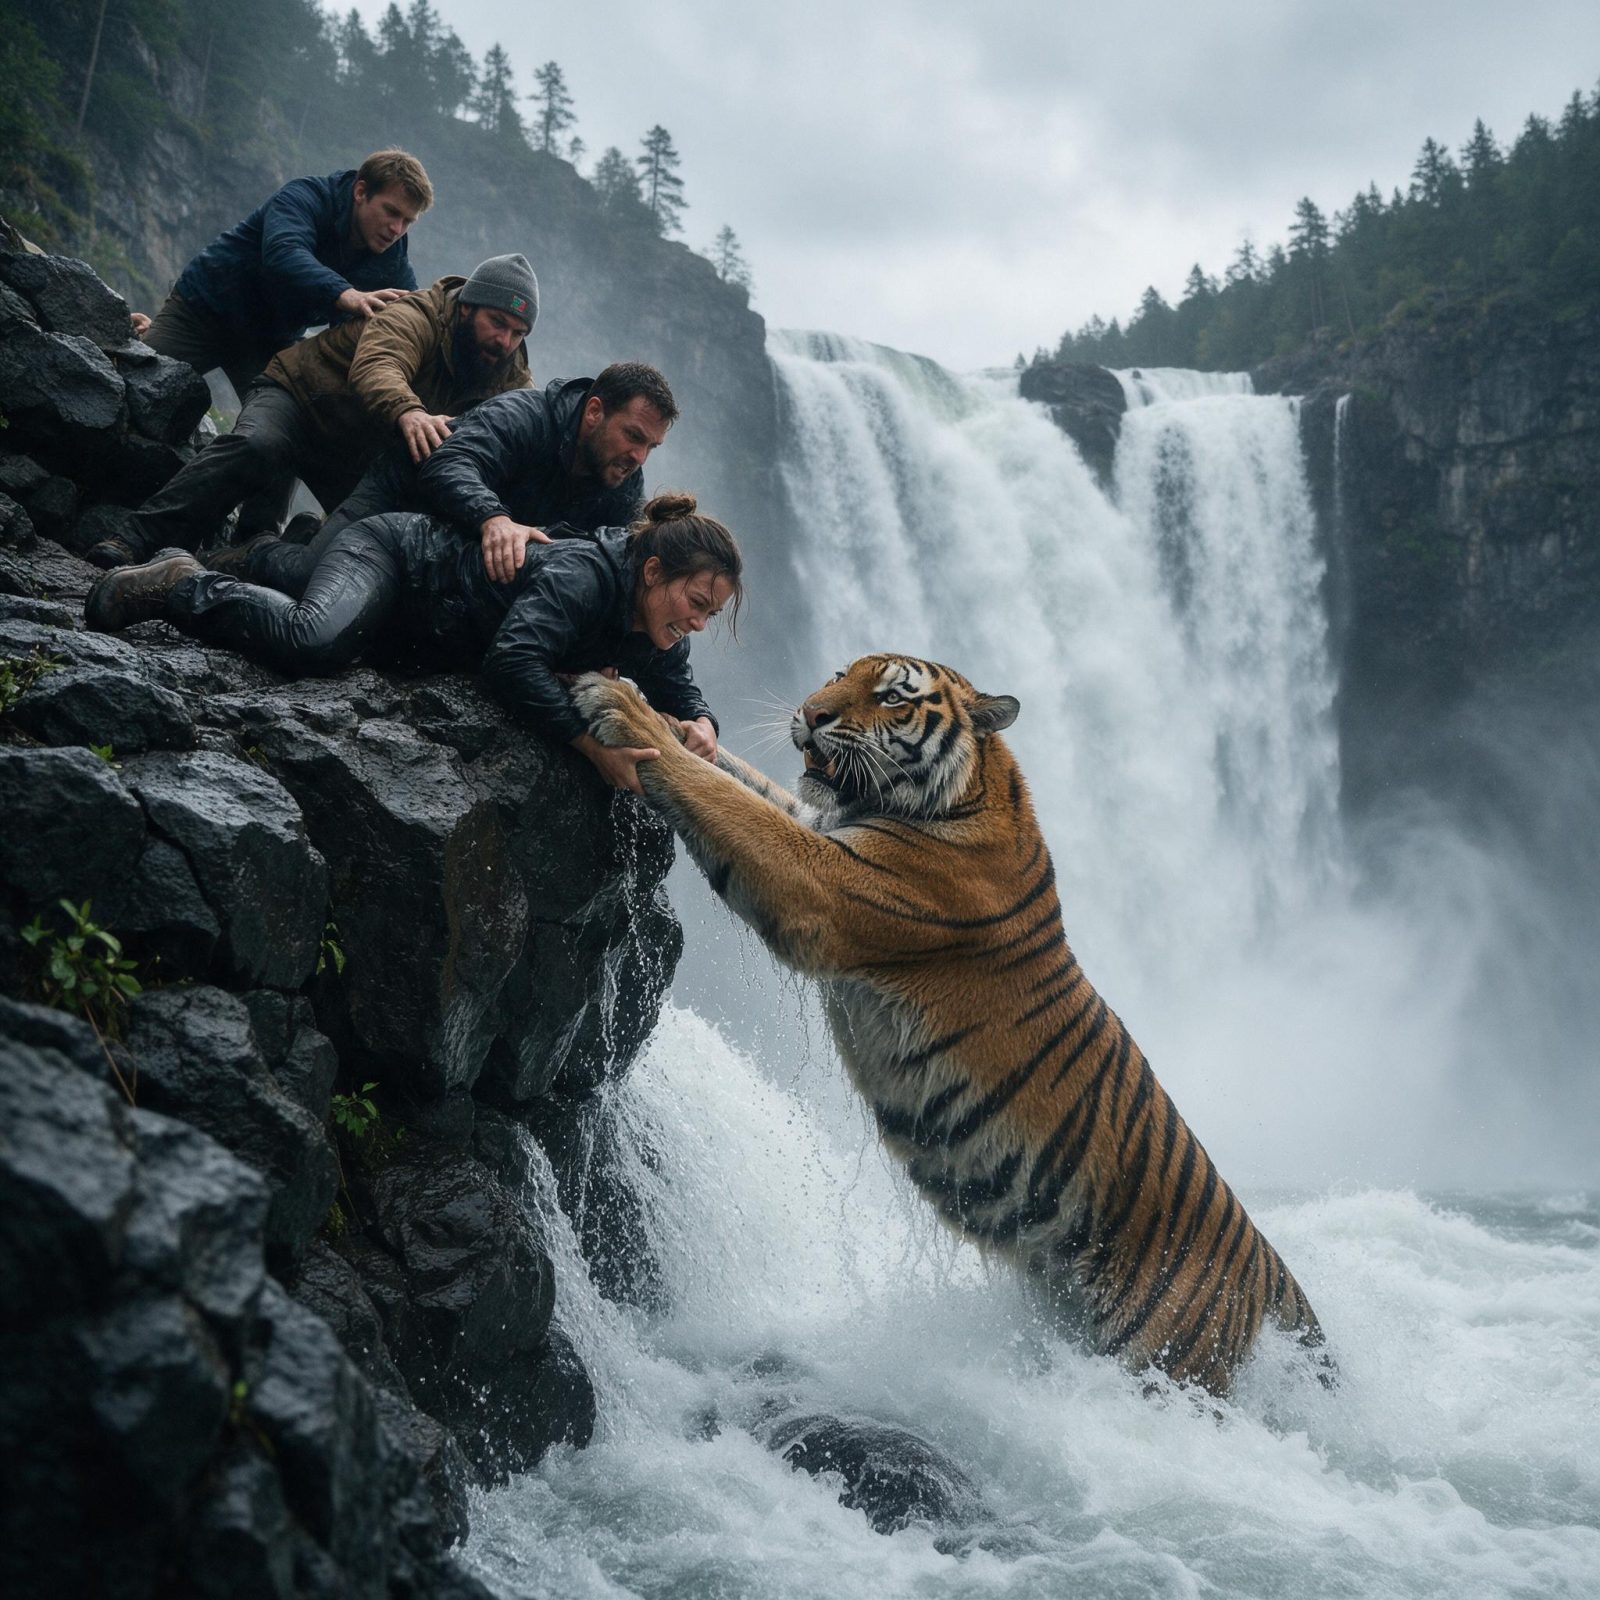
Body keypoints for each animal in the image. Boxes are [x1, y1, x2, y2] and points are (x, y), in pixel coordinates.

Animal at [572, 653, 1331, 1395]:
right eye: (839, 675)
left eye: (892, 697)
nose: (811, 714)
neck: (970, 792)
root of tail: (1281, 1290)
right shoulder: (820, 829)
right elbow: (739, 778)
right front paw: (673, 717)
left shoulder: (819, 884)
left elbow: (726, 802)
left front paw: (620, 706)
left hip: (1165, 1357)